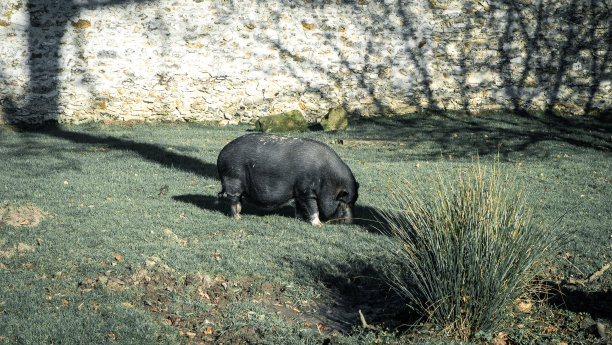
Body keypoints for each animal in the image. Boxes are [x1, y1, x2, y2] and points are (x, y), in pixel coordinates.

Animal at [218, 133, 358, 224]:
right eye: (344, 202)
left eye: (354, 202)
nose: (350, 222)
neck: (327, 180)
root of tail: (221, 154)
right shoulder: (307, 191)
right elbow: (313, 208)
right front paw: (318, 224)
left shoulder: (299, 192)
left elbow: (299, 206)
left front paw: (300, 219)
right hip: (233, 180)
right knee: (233, 199)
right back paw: (237, 218)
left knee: (238, 200)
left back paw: (240, 213)